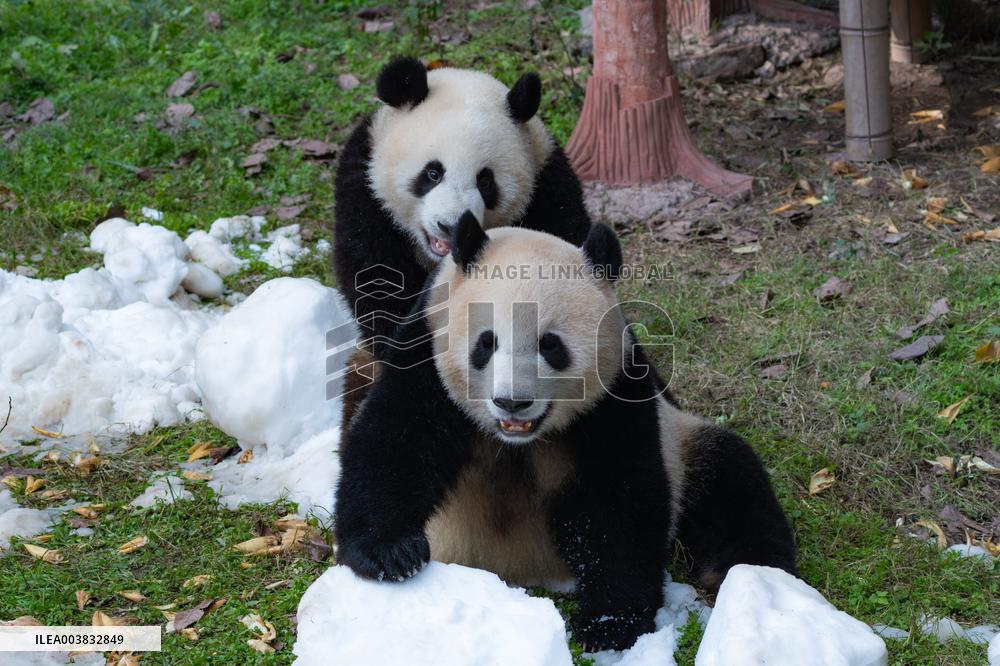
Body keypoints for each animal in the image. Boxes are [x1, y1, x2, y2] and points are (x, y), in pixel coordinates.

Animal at [333, 57, 592, 422]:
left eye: (486, 181)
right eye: (432, 173)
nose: (450, 225)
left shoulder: (548, 186)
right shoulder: (366, 194)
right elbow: (377, 283)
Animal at [334, 215, 797, 651]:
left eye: (551, 345)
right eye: (487, 342)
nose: (512, 402)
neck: (516, 442)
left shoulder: (615, 392)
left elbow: (618, 501)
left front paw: (608, 625)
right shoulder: (427, 346)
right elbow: (394, 443)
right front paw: (392, 554)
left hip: (685, 445)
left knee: (732, 482)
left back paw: (749, 575)